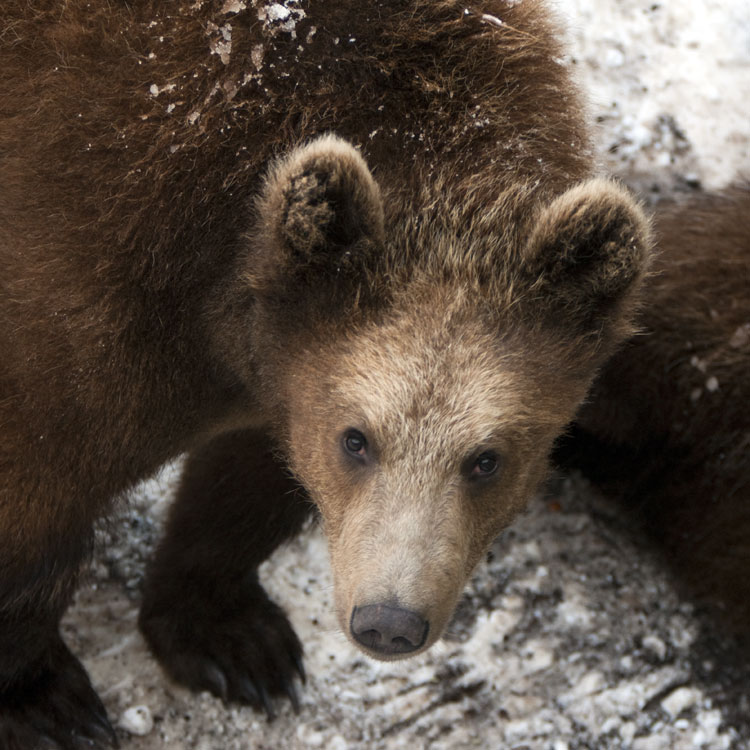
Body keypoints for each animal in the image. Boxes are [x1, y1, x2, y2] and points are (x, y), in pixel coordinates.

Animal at [0, 0, 652, 747]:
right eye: (357, 439)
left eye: (487, 458)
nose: (390, 622)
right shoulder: (85, 286)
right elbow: (37, 501)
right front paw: (47, 703)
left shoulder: (277, 365)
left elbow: (248, 485)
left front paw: (238, 644)